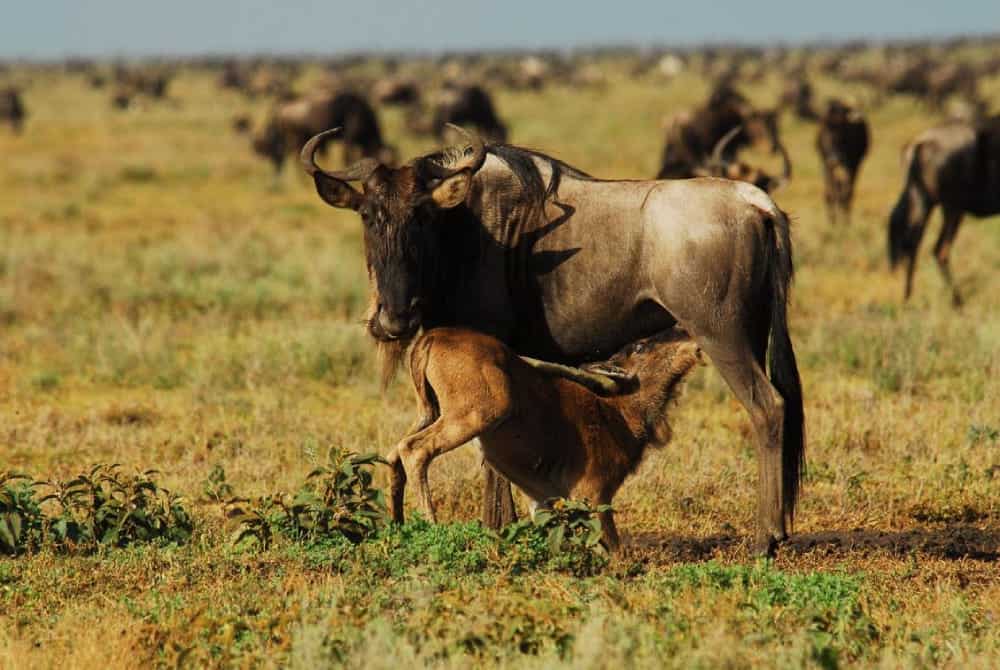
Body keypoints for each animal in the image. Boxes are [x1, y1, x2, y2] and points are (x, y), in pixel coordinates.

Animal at [384, 326, 704, 552]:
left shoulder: (541, 496)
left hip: (430, 410)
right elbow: (614, 551)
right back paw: (432, 528)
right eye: (640, 346)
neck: (620, 412)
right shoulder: (593, 492)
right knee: (413, 449)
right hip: (478, 412)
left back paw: (398, 527)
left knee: (393, 454)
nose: (687, 330)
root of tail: (430, 338)